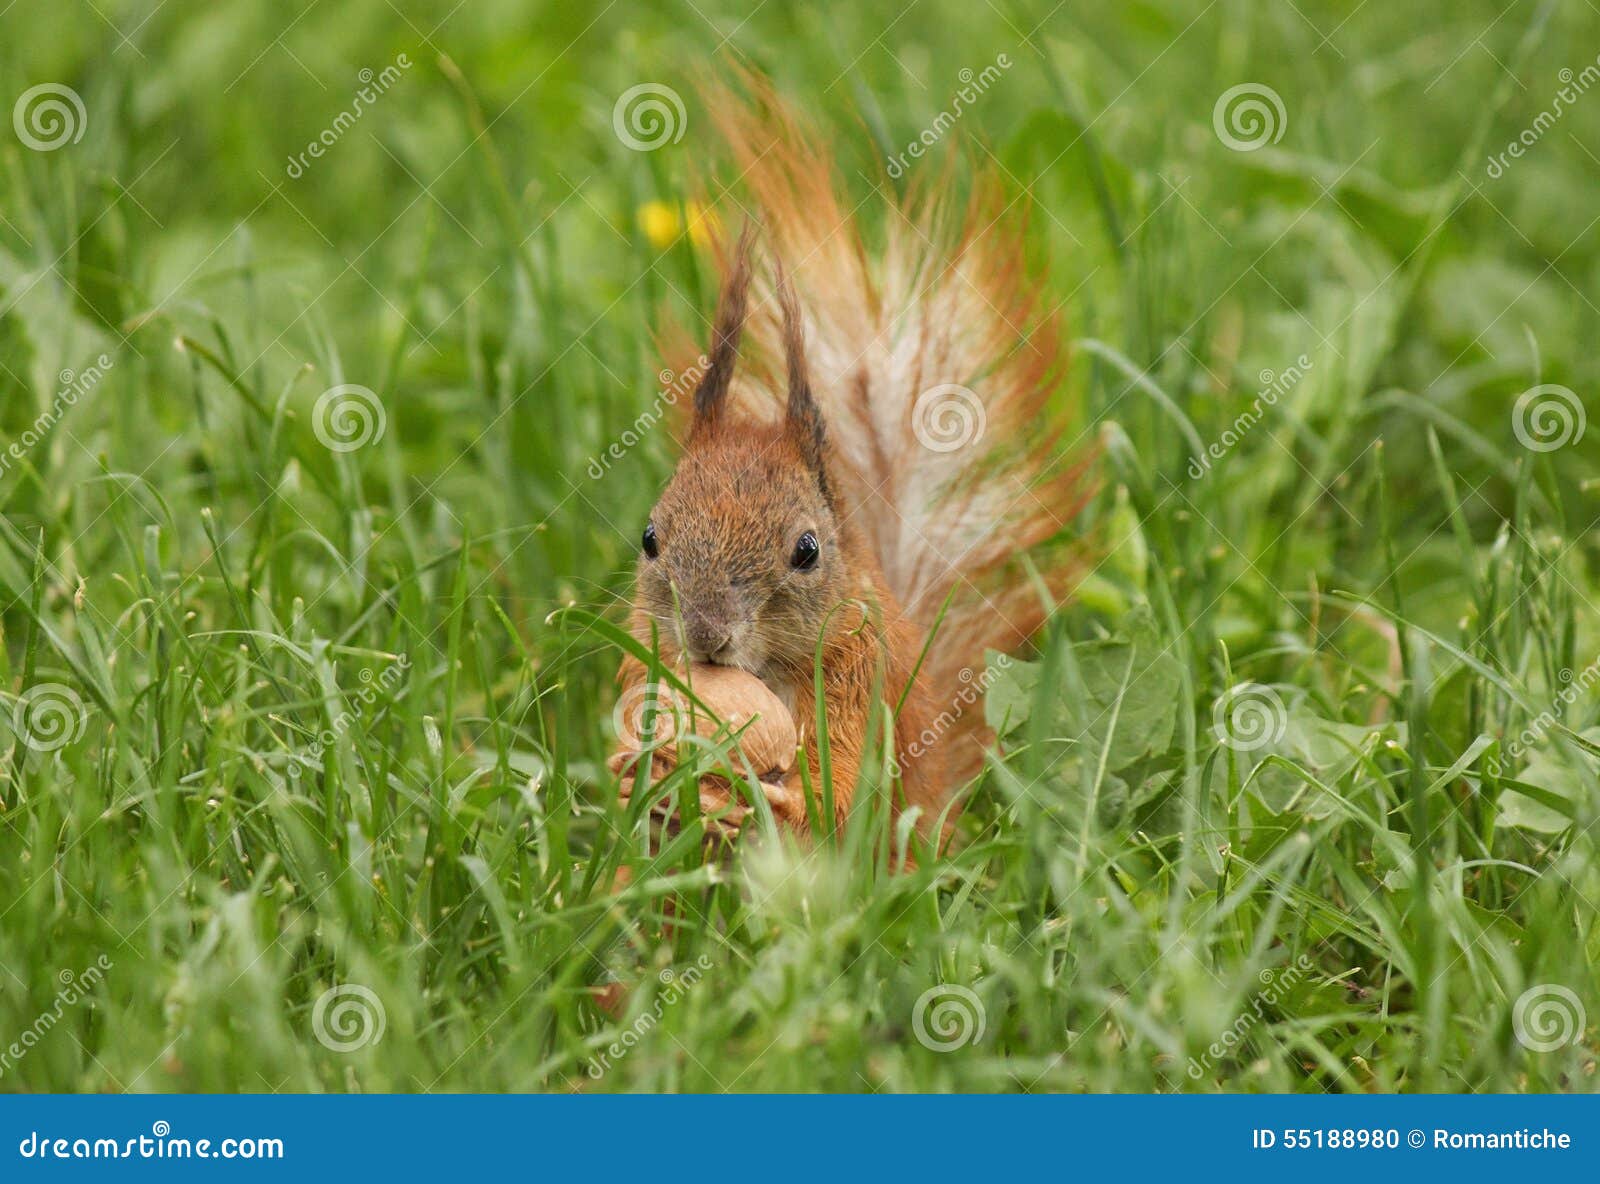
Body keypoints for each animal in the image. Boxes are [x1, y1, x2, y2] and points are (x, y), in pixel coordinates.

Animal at [611, 79, 1091, 840]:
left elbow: (842, 787)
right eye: (650, 537)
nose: (706, 634)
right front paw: (636, 770)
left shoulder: (861, 677)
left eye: (807, 550)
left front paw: (776, 802)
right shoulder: (642, 660)